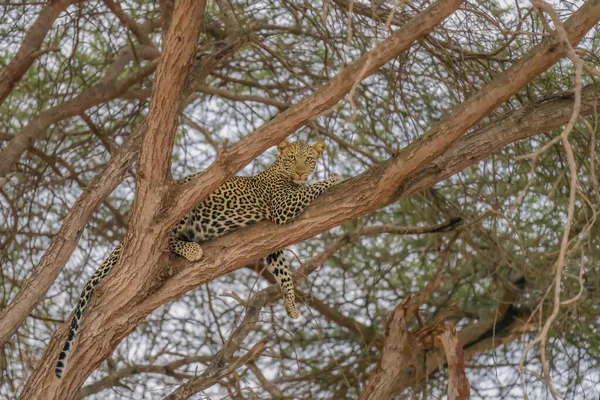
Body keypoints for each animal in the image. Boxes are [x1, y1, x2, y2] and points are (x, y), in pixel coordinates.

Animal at [55, 139, 342, 376]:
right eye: (292, 158)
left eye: (309, 159)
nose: (301, 172)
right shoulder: (282, 208)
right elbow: (310, 189)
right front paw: (337, 177)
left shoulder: (273, 243)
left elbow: (283, 270)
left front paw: (291, 305)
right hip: (183, 208)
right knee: (164, 239)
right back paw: (191, 248)